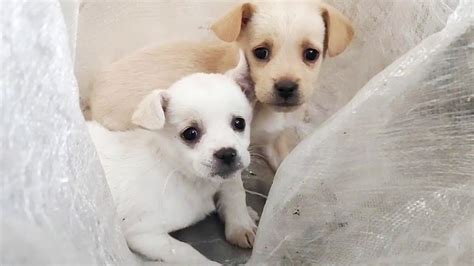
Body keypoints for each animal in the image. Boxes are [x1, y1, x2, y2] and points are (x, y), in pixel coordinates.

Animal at [89, 52, 260, 264]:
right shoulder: (143, 234)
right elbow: (187, 252)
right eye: (190, 134)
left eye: (239, 123)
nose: (227, 153)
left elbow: (234, 193)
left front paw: (242, 220)